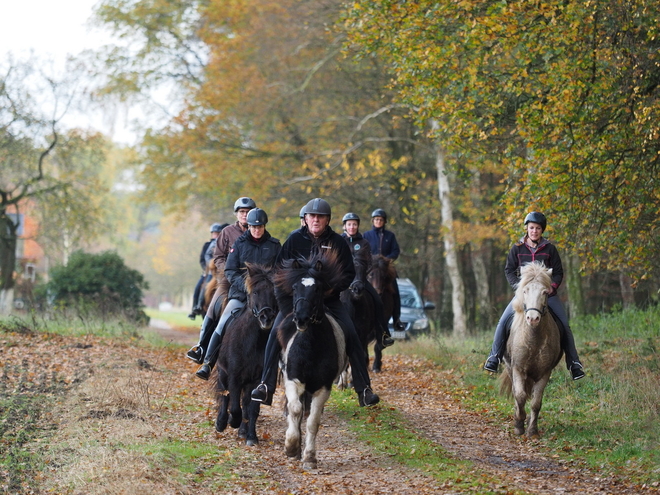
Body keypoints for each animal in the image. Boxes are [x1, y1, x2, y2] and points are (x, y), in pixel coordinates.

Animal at [215, 266, 278, 448]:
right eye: (255, 292)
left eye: (274, 292)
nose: (266, 317)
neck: (254, 341)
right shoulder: (234, 376)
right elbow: (235, 405)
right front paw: (232, 421)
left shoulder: (256, 381)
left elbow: (252, 409)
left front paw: (251, 436)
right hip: (223, 373)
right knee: (225, 395)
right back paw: (221, 422)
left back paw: (242, 430)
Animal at [274, 252, 350, 468]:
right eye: (294, 287)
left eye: (317, 289)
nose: (301, 319)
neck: (311, 347)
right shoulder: (293, 380)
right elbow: (295, 409)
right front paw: (291, 446)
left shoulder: (322, 387)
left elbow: (312, 421)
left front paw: (309, 457)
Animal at [500, 262, 564, 440]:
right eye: (525, 291)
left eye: (545, 292)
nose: (533, 319)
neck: (533, 339)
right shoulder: (518, 369)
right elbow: (520, 396)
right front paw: (519, 425)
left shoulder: (545, 372)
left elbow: (536, 402)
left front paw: (532, 430)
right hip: (509, 368)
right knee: (516, 392)